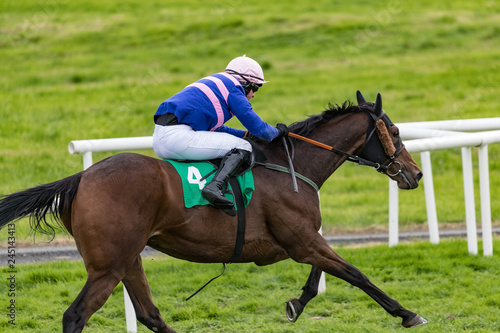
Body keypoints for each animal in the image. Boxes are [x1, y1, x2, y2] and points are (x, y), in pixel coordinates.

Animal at [0, 91, 426, 330]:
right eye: (395, 131)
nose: (415, 173)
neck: (290, 164)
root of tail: (81, 178)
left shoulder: (301, 240)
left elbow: (321, 274)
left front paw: (295, 305)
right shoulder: (301, 239)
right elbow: (355, 273)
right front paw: (408, 313)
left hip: (127, 259)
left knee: (150, 314)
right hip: (108, 266)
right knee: (76, 316)